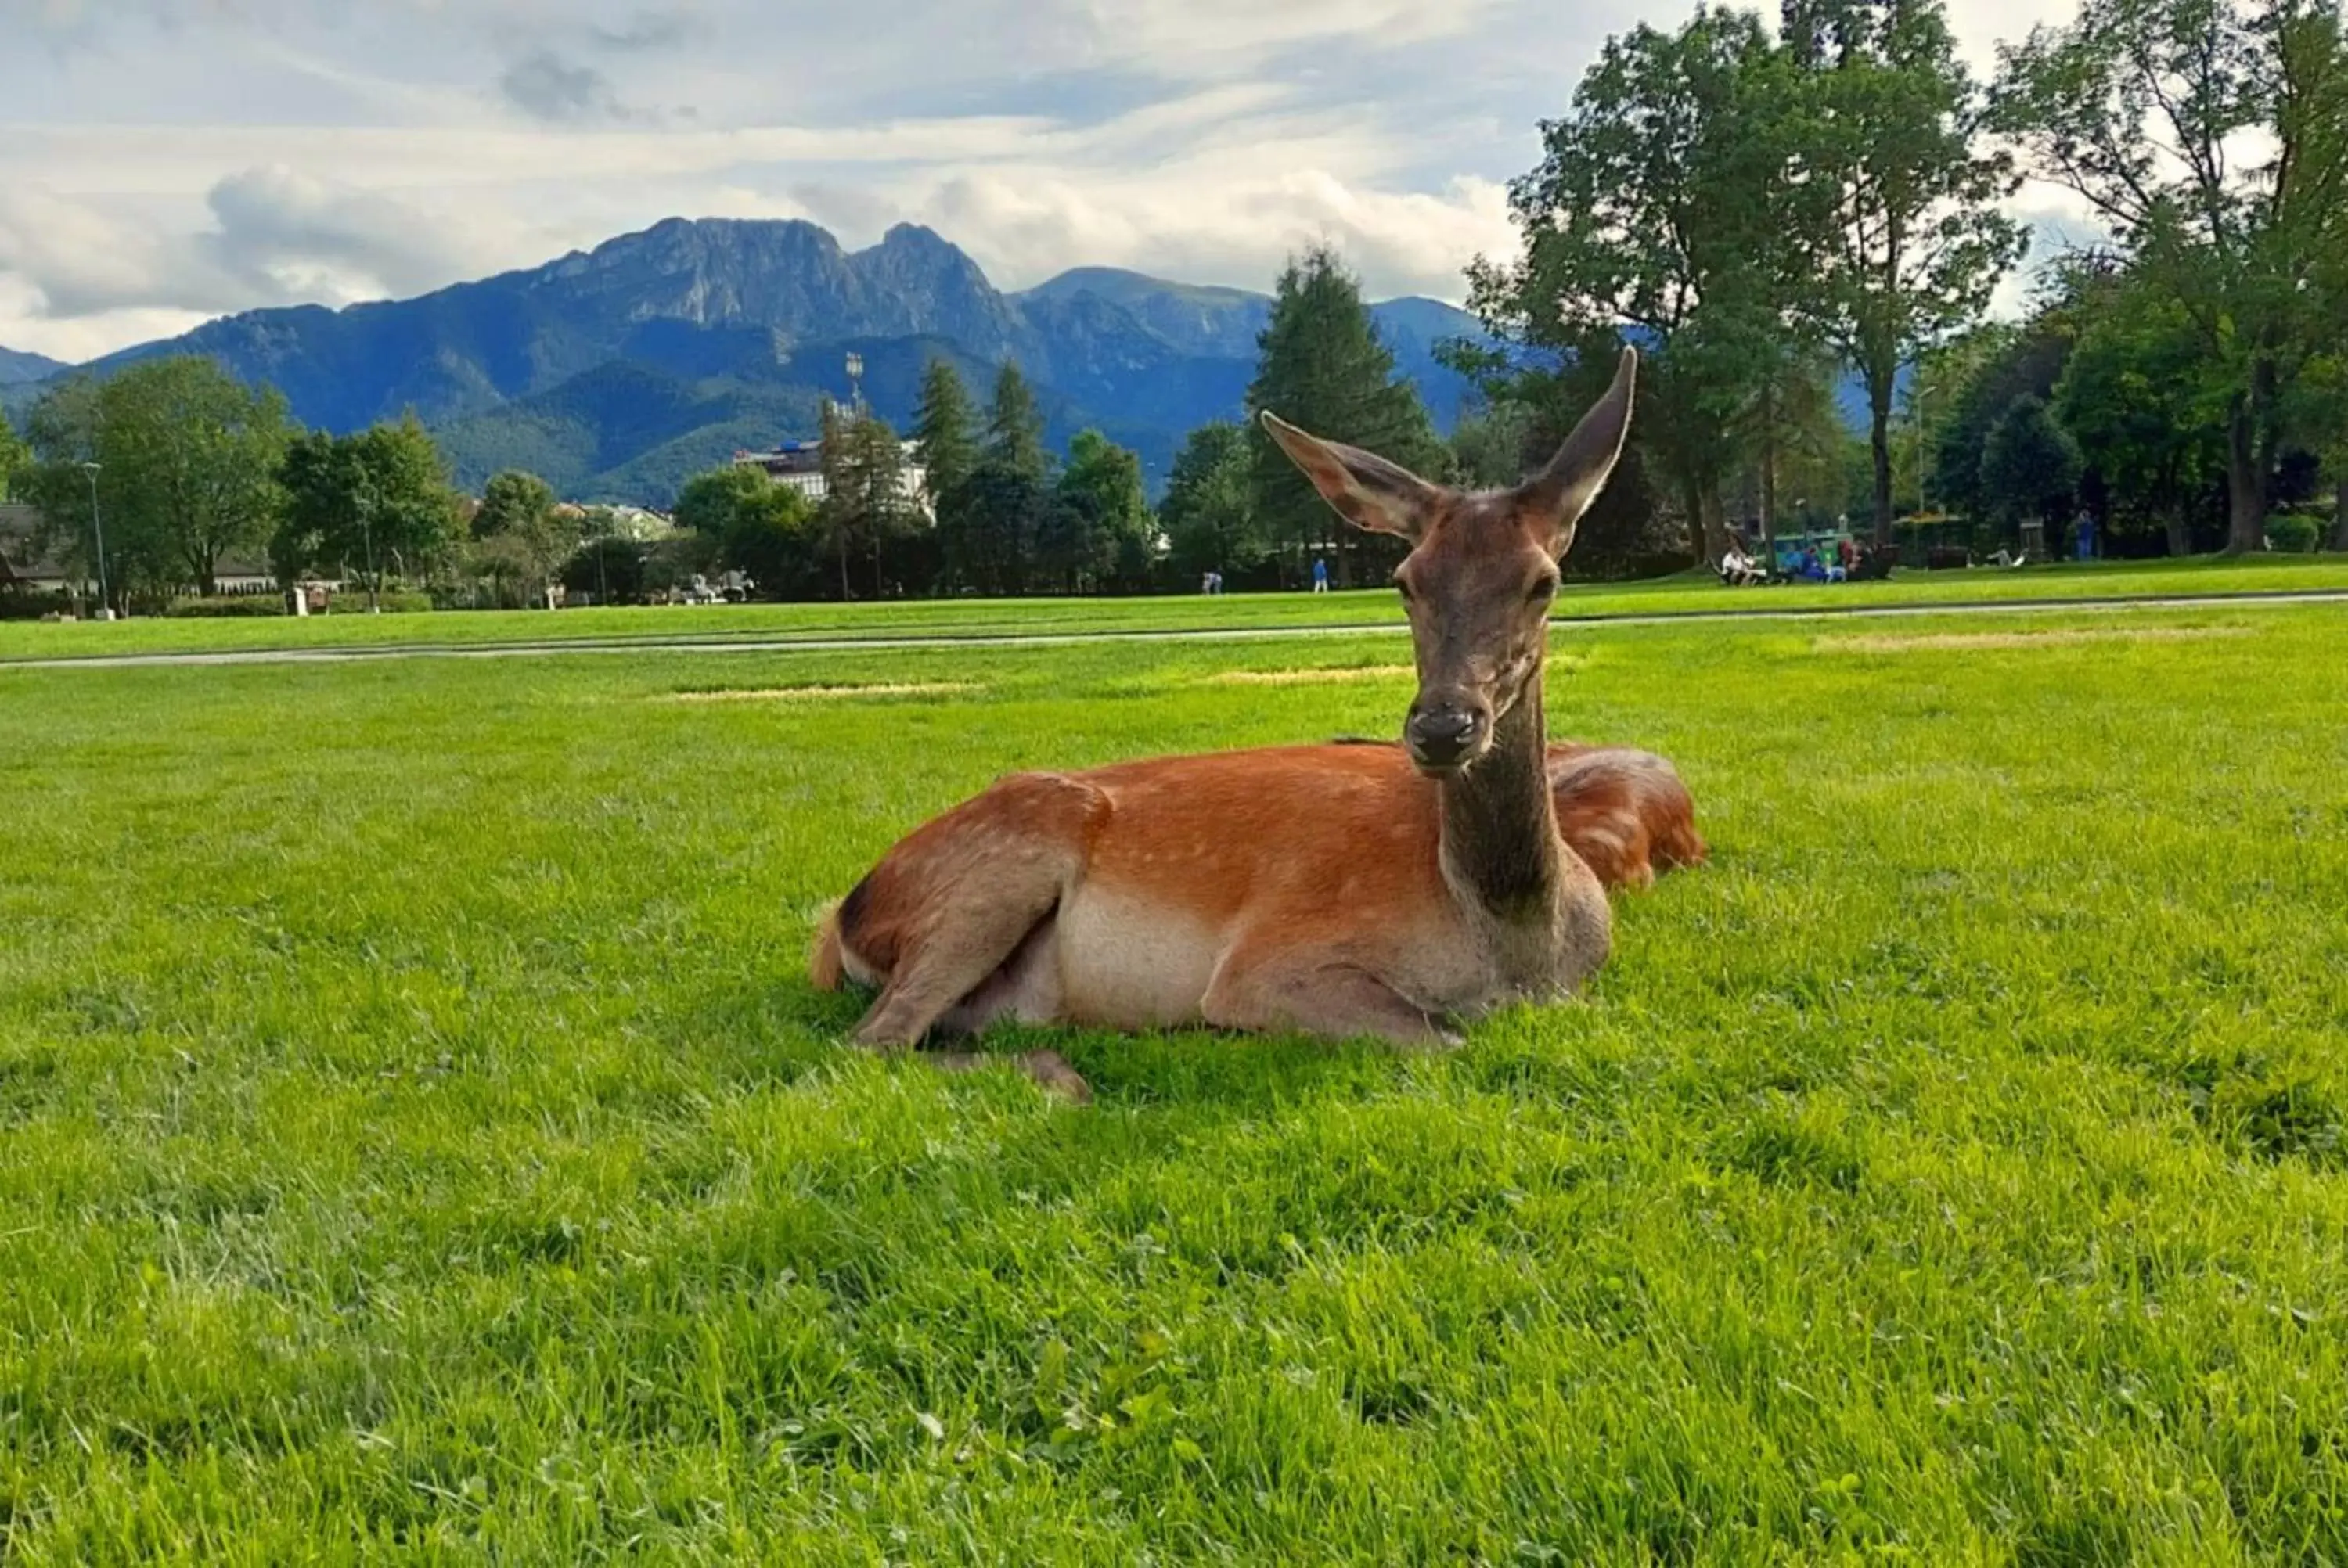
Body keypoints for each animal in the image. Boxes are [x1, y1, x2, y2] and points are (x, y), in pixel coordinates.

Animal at [817, 347, 1700, 1099]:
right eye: (1405, 579)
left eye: (1544, 581)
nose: (1443, 727)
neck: (1516, 946)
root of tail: (842, 922)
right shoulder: (1267, 963)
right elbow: (1443, 1039)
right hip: (998, 869)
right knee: (869, 1044)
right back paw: (1067, 1075)